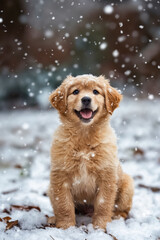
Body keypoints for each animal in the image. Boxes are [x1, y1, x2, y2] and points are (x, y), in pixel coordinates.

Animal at [48, 74, 134, 230]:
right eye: (75, 91)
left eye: (95, 92)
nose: (86, 99)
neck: (84, 135)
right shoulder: (60, 175)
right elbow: (63, 204)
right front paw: (66, 227)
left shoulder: (106, 176)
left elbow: (103, 204)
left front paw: (100, 226)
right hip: (50, 188)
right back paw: (53, 218)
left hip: (127, 185)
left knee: (124, 209)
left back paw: (117, 216)